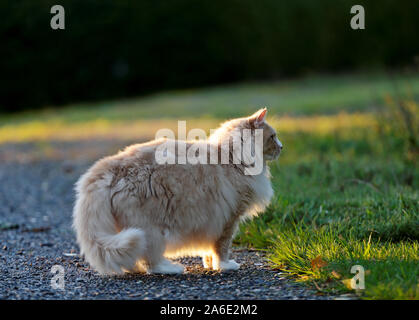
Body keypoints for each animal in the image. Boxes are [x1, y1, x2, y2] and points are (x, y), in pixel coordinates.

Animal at [73, 108, 282, 276]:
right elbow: (221, 248)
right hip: (149, 230)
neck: (232, 157)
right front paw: (225, 266)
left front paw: (209, 264)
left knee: (133, 259)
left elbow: (209, 250)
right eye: (273, 137)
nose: (281, 147)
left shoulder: (215, 219)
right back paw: (172, 268)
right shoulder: (229, 219)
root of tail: (113, 165)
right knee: (152, 262)